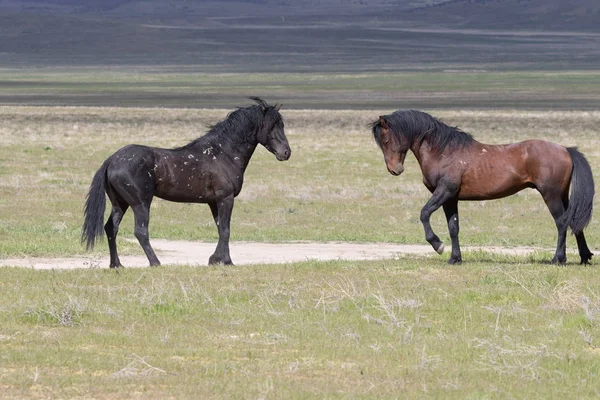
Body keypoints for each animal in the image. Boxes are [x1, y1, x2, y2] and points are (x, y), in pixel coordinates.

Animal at [81, 97, 290, 268]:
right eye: (272, 126)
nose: (286, 152)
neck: (223, 153)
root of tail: (111, 160)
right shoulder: (226, 199)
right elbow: (226, 230)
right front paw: (225, 261)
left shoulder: (214, 202)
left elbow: (220, 228)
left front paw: (216, 259)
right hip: (140, 203)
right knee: (140, 231)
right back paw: (155, 263)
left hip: (120, 203)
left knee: (111, 228)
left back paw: (116, 264)